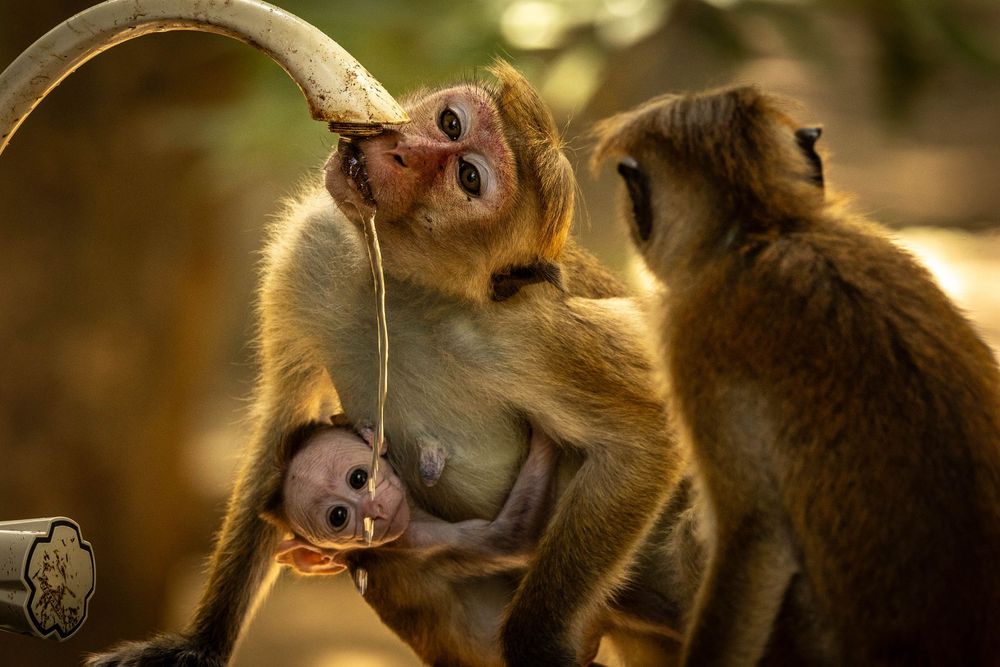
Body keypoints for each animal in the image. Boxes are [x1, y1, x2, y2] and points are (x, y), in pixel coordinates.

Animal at [87, 61, 682, 667]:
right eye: (450, 123)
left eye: (468, 178)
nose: (403, 149)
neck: (399, 283)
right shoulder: (313, 245)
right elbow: (284, 416)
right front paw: (199, 644)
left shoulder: (524, 335)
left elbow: (645, 439)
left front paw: (538, 642)